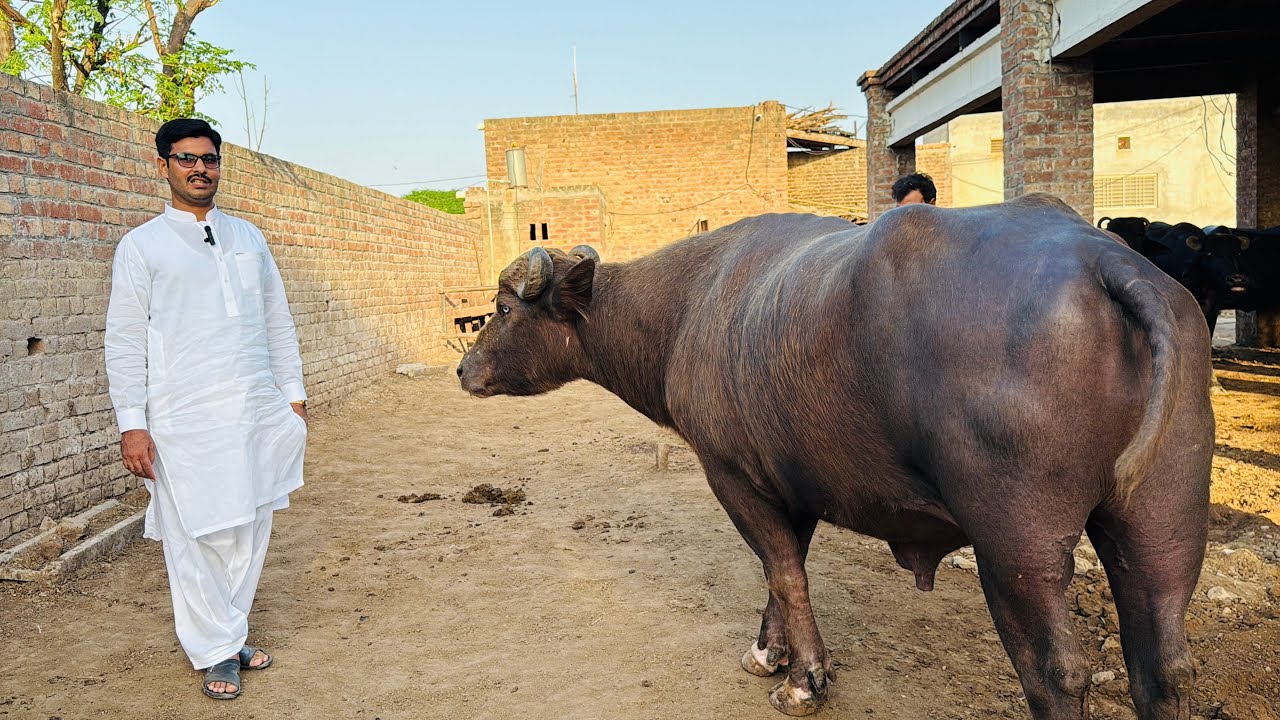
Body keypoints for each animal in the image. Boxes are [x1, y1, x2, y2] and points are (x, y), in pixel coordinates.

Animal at [458, 194, 1214, 720]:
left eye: (502, 309)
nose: (464, 369)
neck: (686, 310)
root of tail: (1103, 260)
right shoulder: (792, 484)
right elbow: (780, 572)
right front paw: (770, 653)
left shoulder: (733, 475)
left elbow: (785, 574)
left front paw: (803, 682)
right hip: (1161, 516)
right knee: (1164, 665)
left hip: (1016, 542)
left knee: (1057, 674)